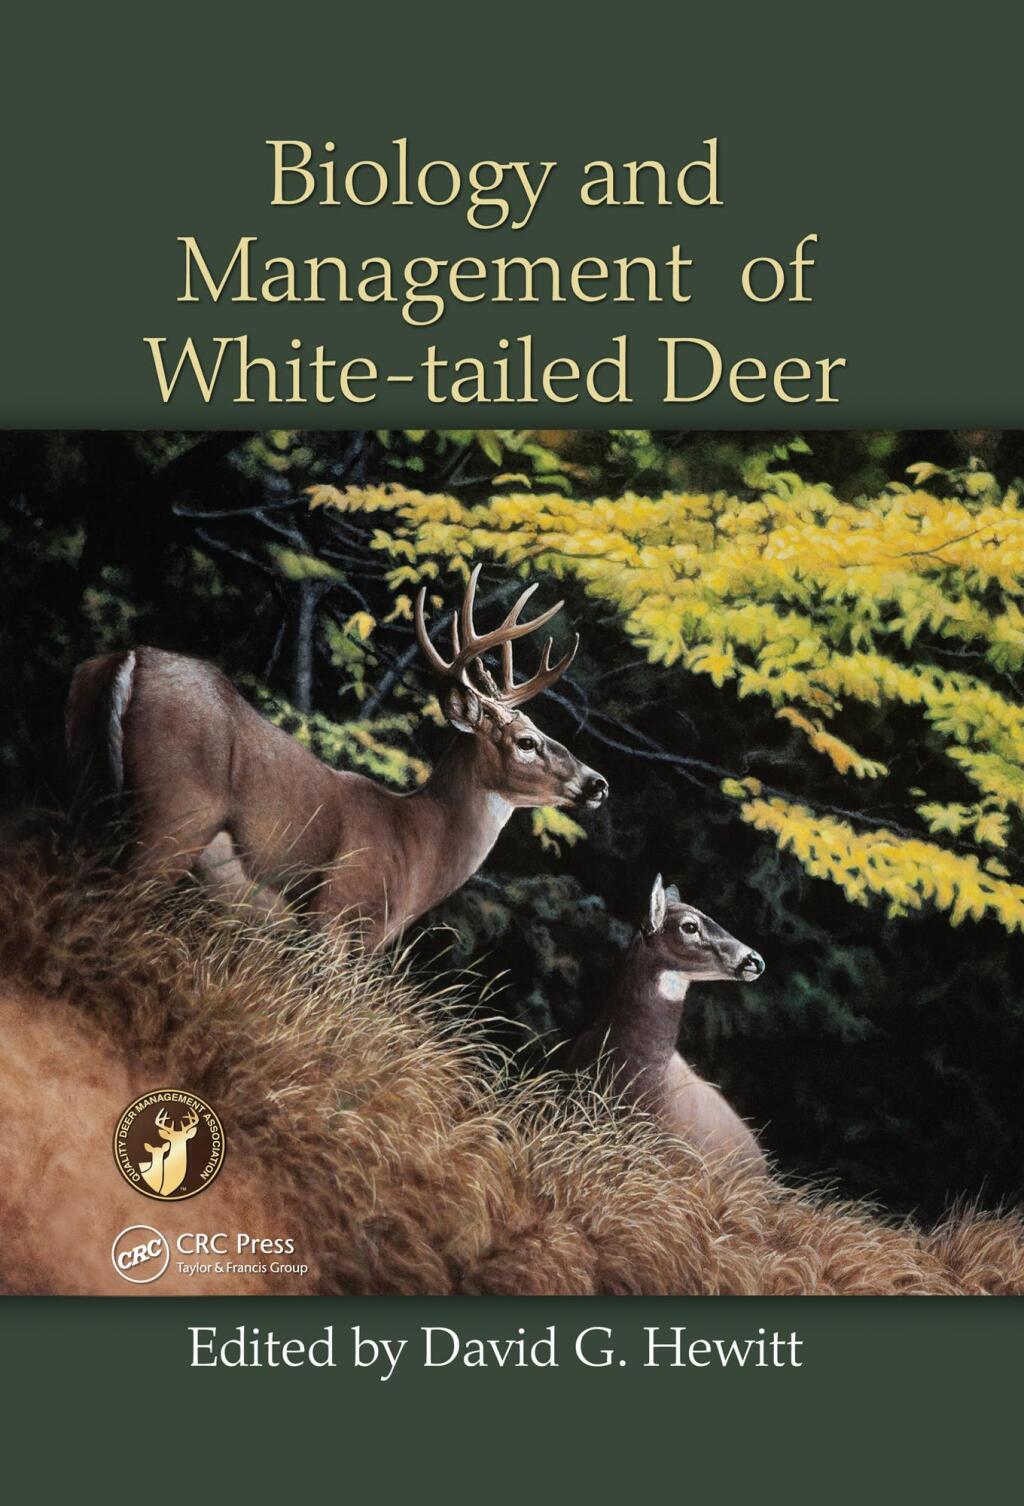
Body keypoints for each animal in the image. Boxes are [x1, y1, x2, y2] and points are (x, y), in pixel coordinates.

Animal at [66, 565, 608, 949]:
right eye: (526, 741)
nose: (598, 783)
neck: (417, 847)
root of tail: (129, 659)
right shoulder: (338, 915)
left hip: (87, 777)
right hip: (175, 811)